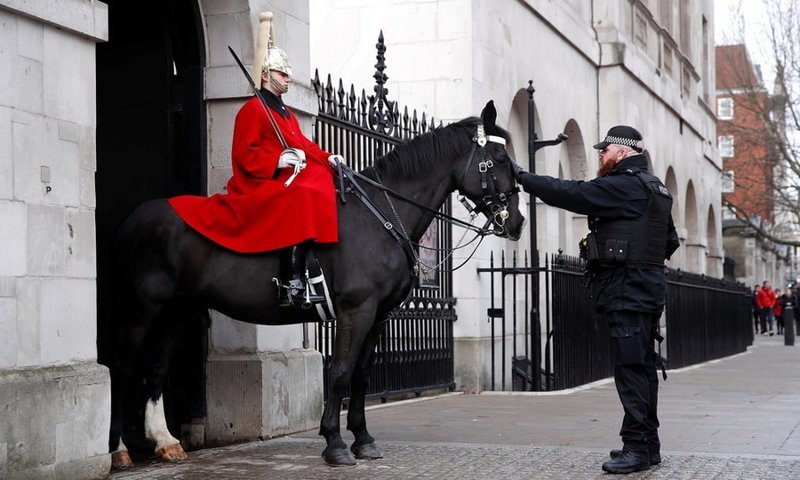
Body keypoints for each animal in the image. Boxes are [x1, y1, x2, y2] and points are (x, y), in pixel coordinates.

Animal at [109, 100, 528, 468]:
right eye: (500, 159)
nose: (518, 222)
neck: (378, 216)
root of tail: (133, 218)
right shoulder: (355, 310)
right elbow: (340, 372)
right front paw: (335, 443)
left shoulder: (379, 315)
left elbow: (361, 374)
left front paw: (363, 440)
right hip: (142, 309)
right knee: (123, 368)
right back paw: (118, 452)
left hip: (178, 310)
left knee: (156, 368)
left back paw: (166, 442)